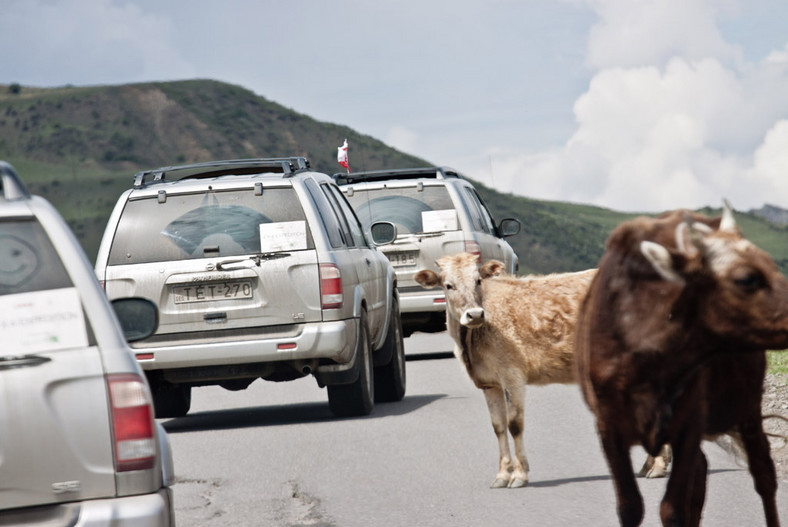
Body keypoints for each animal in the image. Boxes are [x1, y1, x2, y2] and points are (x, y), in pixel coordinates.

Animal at [412, 254, 672, 488]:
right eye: (448, 285)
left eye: (478, 280)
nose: (475, 314)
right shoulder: (489, 383)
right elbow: (498, 426)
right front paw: (502, 475)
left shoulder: (512, 374)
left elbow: (514, 424)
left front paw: (519, 475)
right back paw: (651, 465)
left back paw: (657, 467)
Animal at [576, 203, 788, 527]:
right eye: (746, 279)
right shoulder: (609, 428)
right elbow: (630, 507)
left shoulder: (689, 424)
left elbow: (672, 508)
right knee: (702, 472)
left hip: (747, 406)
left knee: (763, 475)